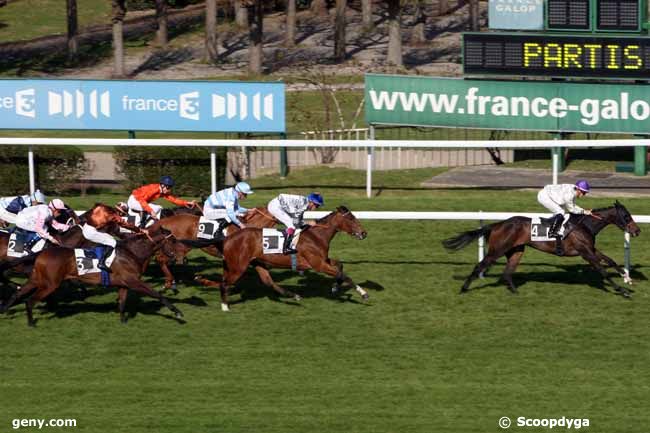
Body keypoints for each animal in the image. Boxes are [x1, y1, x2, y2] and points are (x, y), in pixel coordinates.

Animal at [1, 223, 182, 324]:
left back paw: (5, 308)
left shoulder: (124, 284)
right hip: (50, 284)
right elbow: (157, 294)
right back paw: (31, 322)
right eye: (173, 240)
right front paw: (177, 312)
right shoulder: (134, 281)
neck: (132, 252)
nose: (175, 257)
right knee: (30, 300)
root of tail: (41, 253)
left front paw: (123, 320)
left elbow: (122, 303)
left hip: (36, 279)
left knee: (19, 294)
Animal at [190, 206, 368, 310]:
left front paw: (335, 287)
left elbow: (340, 266)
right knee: (225, 283)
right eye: (351, 218)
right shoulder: (318, 264)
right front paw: (363, 293)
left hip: (256, 263)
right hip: (238, 266)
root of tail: (227, 238)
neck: (316, 236)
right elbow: (343, 274)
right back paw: (224, 305)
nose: (364, 233)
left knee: (267, 282)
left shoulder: (323, 260)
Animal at [440, 200, 636, 296]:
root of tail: (498, 224)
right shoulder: (585, 252)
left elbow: (611, 260)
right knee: (480, 265)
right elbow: (602, 270)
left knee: (507, 272)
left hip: (516, 250)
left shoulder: (590, 249)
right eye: (626, 216)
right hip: (497, 250)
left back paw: (515, 292)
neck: (584, 225)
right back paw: (464, 288)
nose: (637, 230)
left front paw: (627, 278)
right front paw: (623, 291)